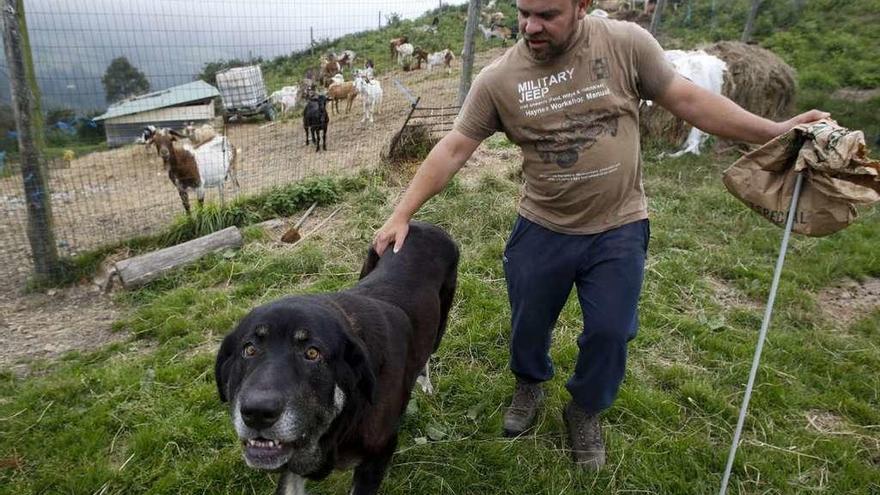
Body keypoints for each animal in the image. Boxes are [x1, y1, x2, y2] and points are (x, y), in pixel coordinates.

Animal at [216, 222, 458, 495]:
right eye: (249, 349)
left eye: (312, 353)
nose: (257, 412)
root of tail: (425, 224)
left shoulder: (377, 457)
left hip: (440, 323)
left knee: (427, 352)